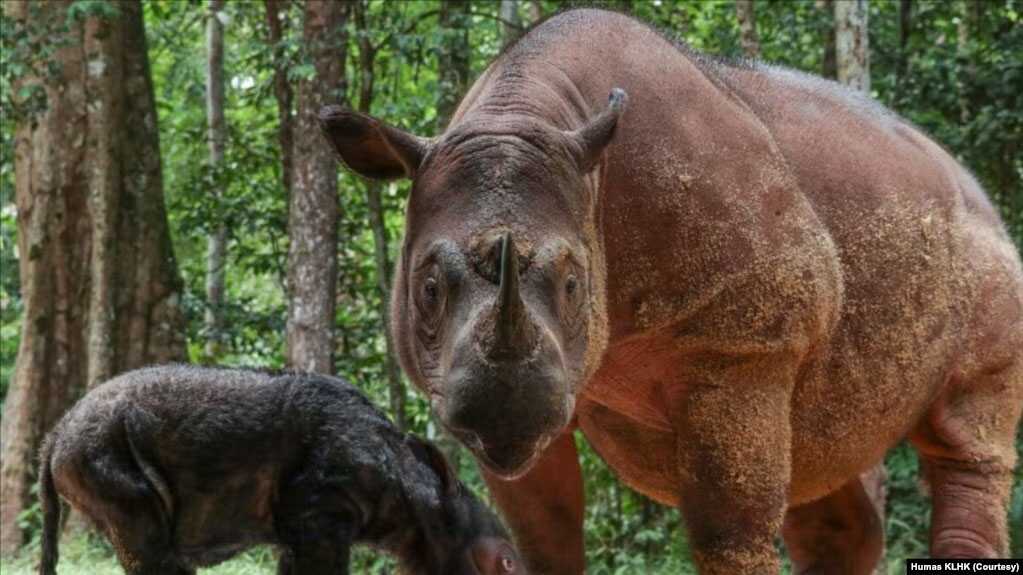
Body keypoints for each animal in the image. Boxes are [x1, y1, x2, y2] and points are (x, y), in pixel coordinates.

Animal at [320, 9, 1023, 574]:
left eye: (574, 283)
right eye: (428, 288)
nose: (504, 412)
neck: (528, 113)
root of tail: (976, 189)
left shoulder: (743, 346)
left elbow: (728, 529)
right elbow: (545, 535)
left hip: (989, 258)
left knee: (967, 439)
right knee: (821, 473)